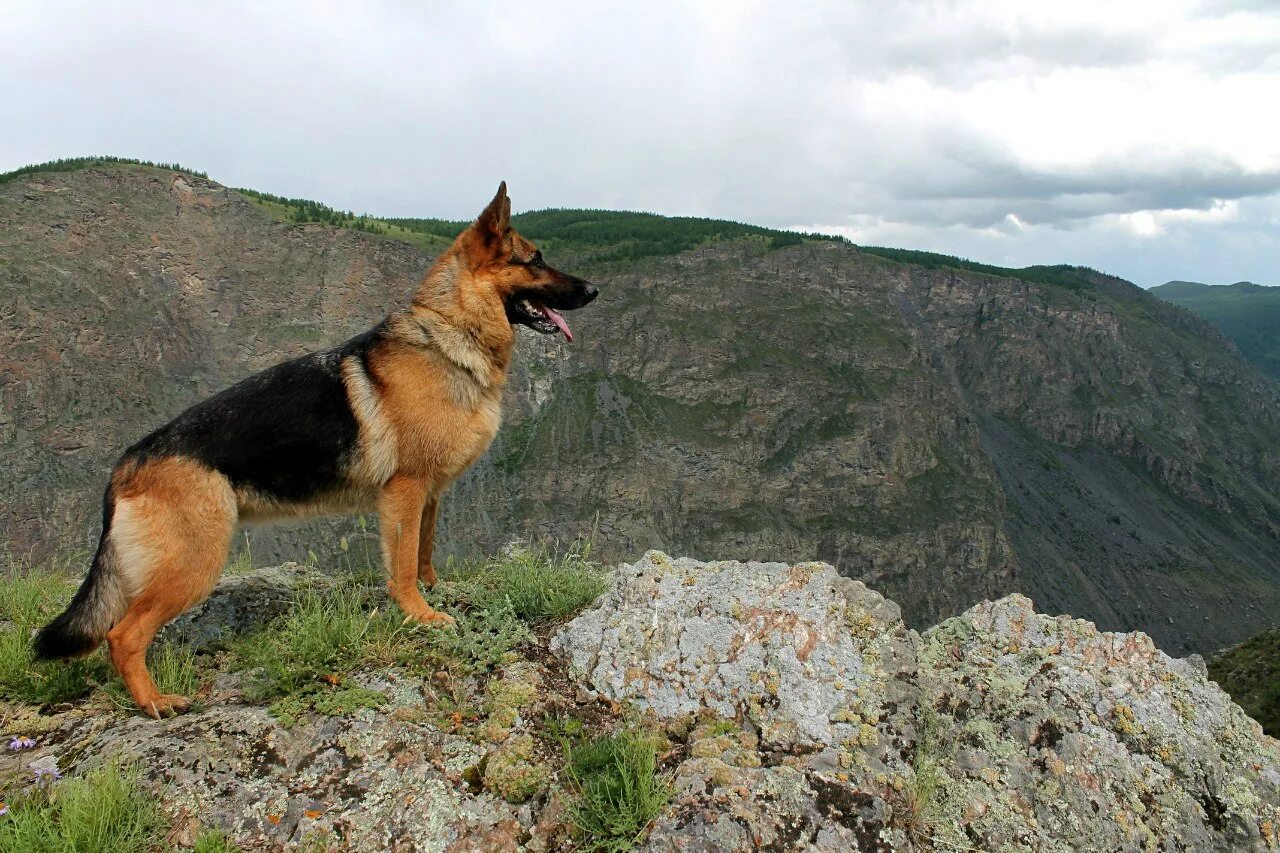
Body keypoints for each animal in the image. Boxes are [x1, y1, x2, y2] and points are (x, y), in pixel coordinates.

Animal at [37, 183, 596, 712]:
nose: (594, 289)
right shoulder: (405, 492)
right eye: (534, 260)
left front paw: (437, 592)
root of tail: (128, 461)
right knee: (121, 635)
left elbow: (424, 554)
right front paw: (420, 615)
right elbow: (402, 567)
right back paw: (154, 702)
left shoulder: (430, 495)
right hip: (194, 563)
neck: (451, 334)